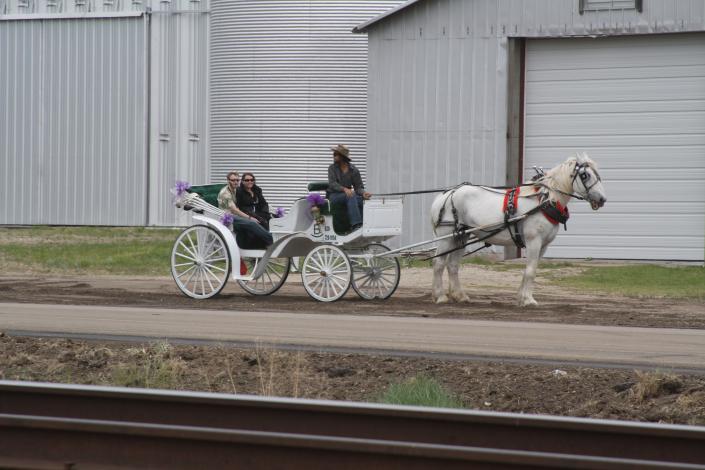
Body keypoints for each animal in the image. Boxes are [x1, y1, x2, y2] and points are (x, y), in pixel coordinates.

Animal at [428, 152, 604, 306]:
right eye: (585, 175)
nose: (602, 199)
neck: (545, 201)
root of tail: (445, 195)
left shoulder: (543, 245)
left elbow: (529, 270)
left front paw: (521, 298)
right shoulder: (534, 241)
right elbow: (531, 270)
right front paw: (528, 300)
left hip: (461, 236)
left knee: (452, 265)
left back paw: (460, 296)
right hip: (446, 237)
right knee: (438, 263)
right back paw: (440, 296)